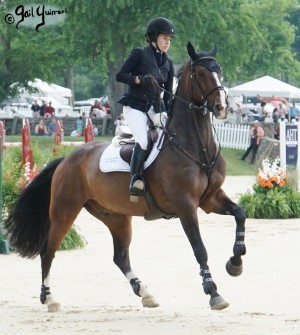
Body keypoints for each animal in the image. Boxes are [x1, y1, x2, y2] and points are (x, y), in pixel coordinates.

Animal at [5, 42, 246, 312]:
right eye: (202, 73)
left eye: (220, 71)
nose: (222, 108)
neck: (196, 147)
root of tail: (67, 159)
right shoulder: (185, 205)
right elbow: (200, 249)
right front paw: (213, 292)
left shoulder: (210, 199)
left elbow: (240, 214)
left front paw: (235, 263)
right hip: (64, 211)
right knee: (48, 250)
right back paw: (49, 298)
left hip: (115, 216)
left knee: (120, 256)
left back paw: (146, 293)